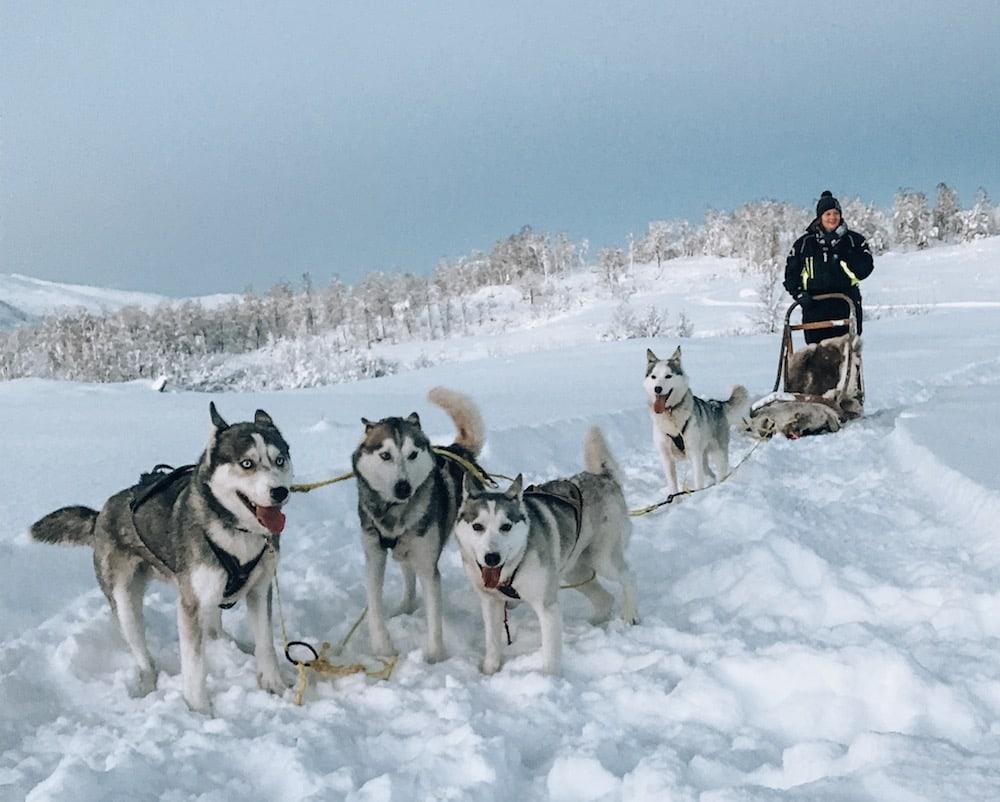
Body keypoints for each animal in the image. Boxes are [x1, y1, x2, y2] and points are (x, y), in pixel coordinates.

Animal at [28, 404, 292, 708]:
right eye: (247, 463)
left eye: (280, 460)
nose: (280, 491)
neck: (237, 531)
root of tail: (101, 515)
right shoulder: (190, 605)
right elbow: (194, 665)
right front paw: (198, 709)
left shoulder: (259, 590)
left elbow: (266, 644)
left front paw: (275, 686)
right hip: (126, 603)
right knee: (144, 655)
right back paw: (147, 683)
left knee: (214, 629)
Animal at [354, 384, 486, 660]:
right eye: (385, 455)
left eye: (412, 454)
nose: (403, 487)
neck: (394, 513)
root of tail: (459, 450)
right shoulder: (374, 555)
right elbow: (374, 605)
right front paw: (382, 648)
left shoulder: (428, 566)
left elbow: (434, 618)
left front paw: (435, 657)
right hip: (405, 549)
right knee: (407, 572)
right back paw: (405, 605)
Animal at [456, 428, 636, 672]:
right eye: (477, 527)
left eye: (506, 526)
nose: (492, 557)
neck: (513, 569)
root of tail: (602, 477)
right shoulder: (491, 603)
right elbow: (492, 644)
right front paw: (489, 671)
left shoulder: (547, 606)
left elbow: (550, 653)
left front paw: (549, 677)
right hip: (575, 571)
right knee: (604, 599)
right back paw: (591, 627)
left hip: (603, 559)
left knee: (628, 576)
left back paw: (631, 613)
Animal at [644, 346, 748, 490]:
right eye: (653, 376)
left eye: (668, 376)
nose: (657, 388)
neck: (671, 414)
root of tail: (717, 404)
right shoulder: (666, 458)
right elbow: (673, 486)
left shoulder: (694, 454)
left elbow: (698, 481)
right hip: (703, 457)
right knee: (710, 473)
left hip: (717, 454)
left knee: (720, 472)